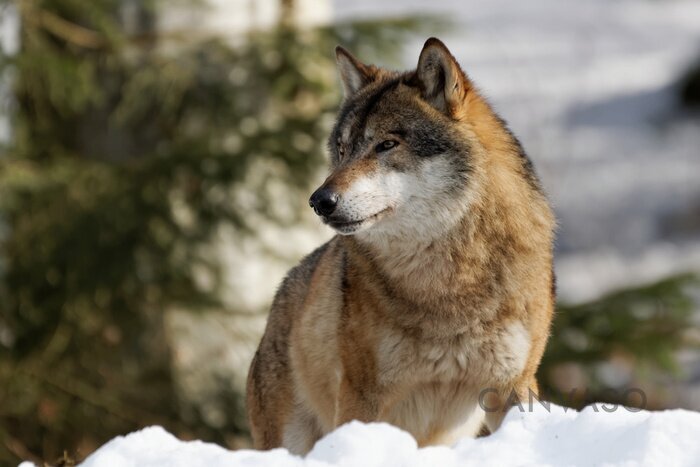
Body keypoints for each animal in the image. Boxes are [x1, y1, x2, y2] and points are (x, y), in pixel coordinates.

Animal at [249, 38, 556, 456]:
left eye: (387, 144)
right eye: (342, 150)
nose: (319, 201)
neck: (450, 278)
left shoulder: (514, 385)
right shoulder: (363, 395)